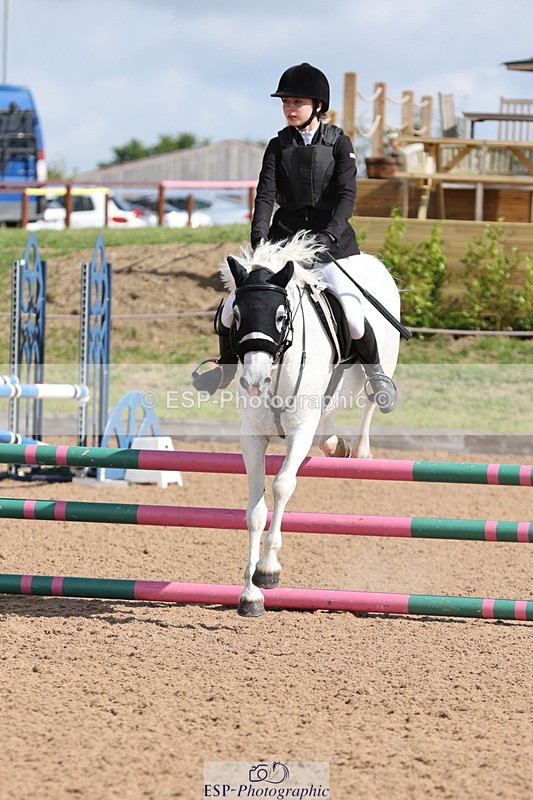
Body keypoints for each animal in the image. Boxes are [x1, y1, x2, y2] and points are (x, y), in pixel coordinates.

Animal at [219, 232, 401, 616]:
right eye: (236, 315)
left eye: (281, 315)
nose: (254, 381)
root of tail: (371, 260)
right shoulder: (252, 438)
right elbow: (254, 510)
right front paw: (250, 594)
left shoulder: (299, 432)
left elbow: (282, 486)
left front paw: (268, 571)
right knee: (328, 424)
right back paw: (337, 445)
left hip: (383, 362)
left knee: (371, 398)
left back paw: (361, 450)